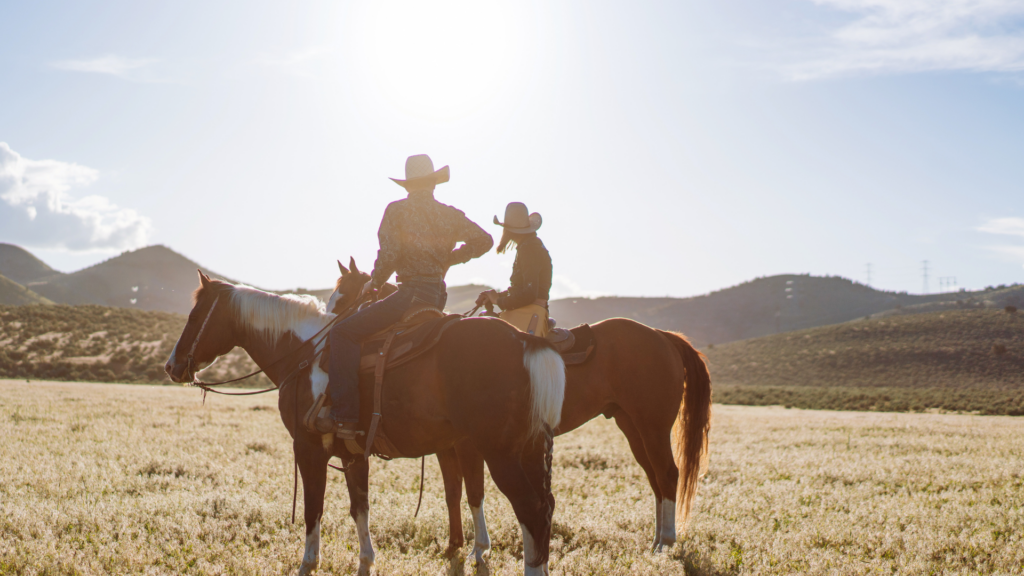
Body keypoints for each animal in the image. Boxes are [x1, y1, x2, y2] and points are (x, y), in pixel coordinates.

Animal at [165, 268, 569, 573]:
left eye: (195, 317)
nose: (172, 366)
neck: (304, 354)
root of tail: (526, 341)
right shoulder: (353, 454)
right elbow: (360, 508)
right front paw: (366, 561)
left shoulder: (308, 448)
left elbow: (314, 508)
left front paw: (308, 562)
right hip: (529, 451)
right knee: (543, 508)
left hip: (500, 453)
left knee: (530, 510)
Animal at [327, 260, 712, 561]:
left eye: (344, 295)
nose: (327, 330)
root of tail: (662, 335)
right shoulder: (448, 446)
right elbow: (455, 493)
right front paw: (455, 546)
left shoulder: (467, 445)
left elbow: (472, 491)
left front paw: (476, 548)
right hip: (631, 425)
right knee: (655, 477)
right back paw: (657, 539)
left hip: (652, 426)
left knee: (668, 474)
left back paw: (666, 543)